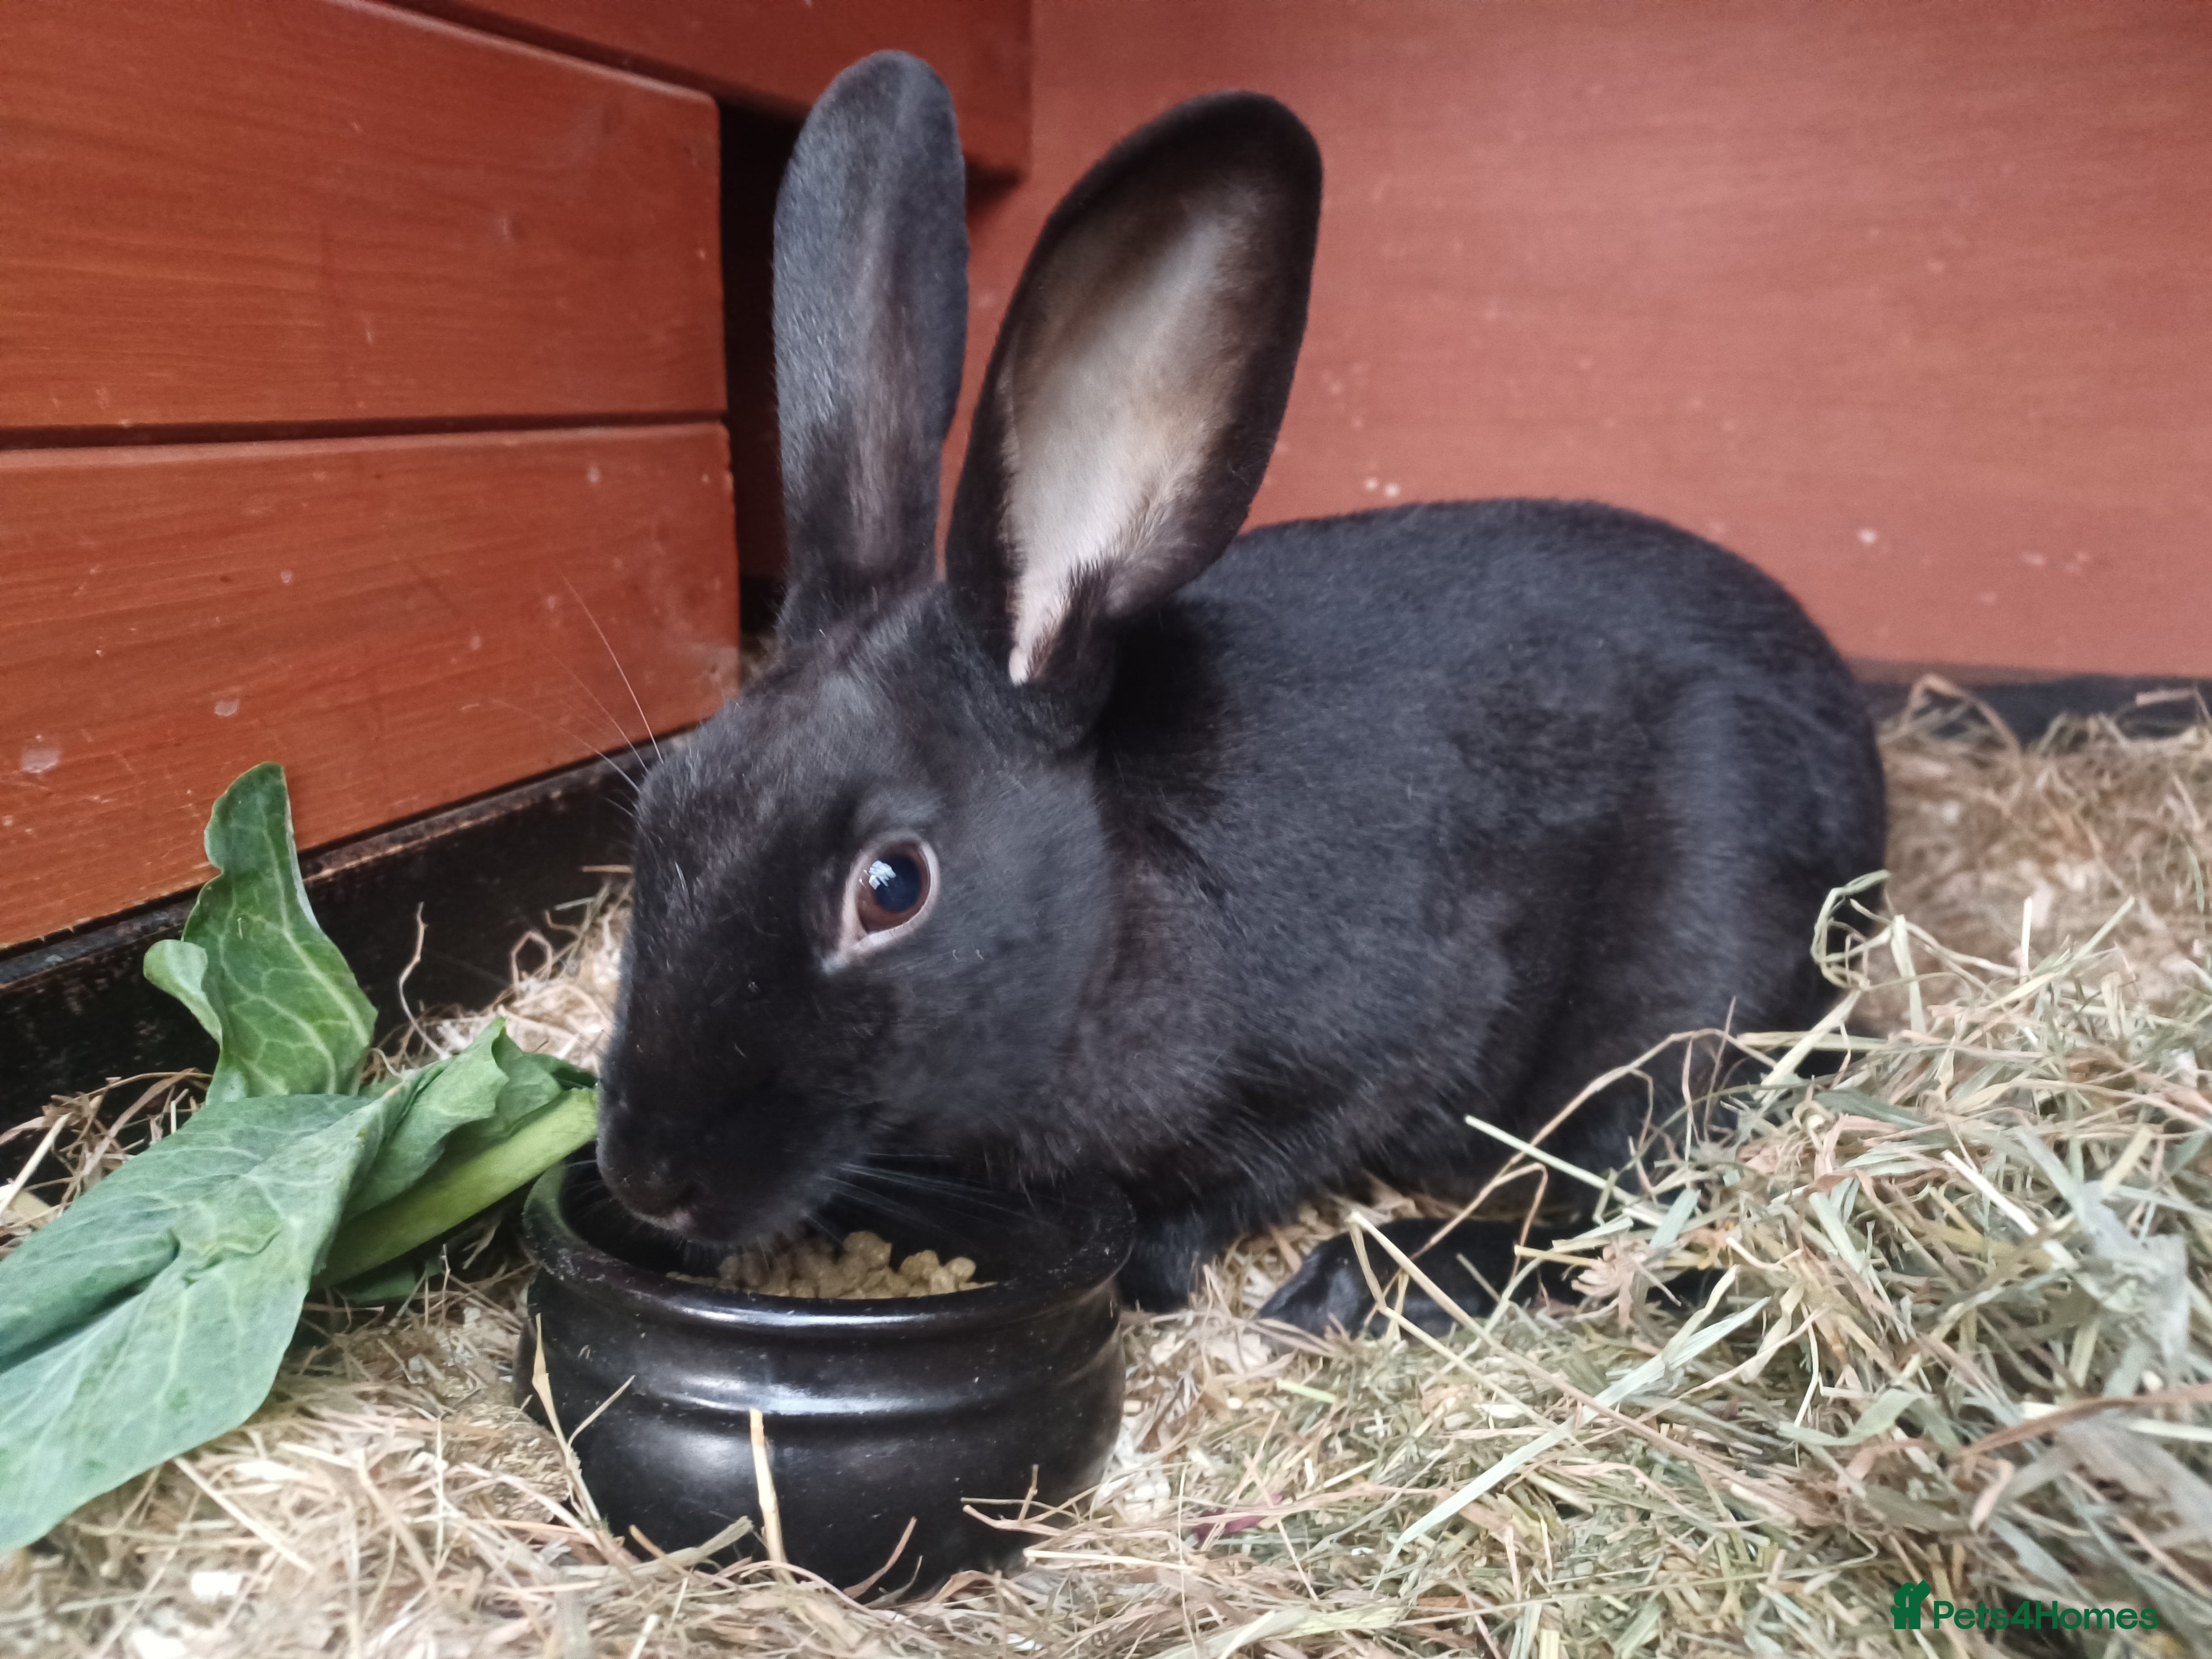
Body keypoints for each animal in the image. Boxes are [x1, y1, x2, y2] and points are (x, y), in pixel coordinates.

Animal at [595, 51, 1887, 1335]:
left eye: (892, 886)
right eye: (660, 810)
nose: (648, 1177)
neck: (1110, 917)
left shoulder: (1369, 1044)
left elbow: (1257, 1170)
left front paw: (1165, 1267)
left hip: (1682, 994)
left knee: (1625, 1205)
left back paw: (1363, 1280)